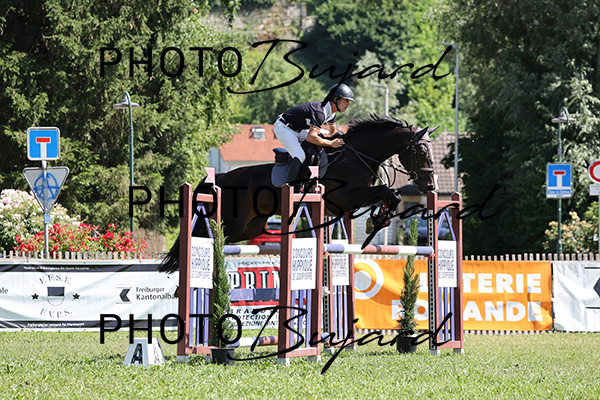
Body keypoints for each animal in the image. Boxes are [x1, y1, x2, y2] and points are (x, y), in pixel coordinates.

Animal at [159, 114, 436, 273]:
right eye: (422, 152)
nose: (430, 186)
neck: (357, 155)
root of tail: (221, 178)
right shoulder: (345, 198)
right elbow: (387, 192)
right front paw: (375, 221)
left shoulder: (353, 200)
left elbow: (390, 195)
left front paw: (376, 220)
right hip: (232, 224)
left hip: (250, 227)